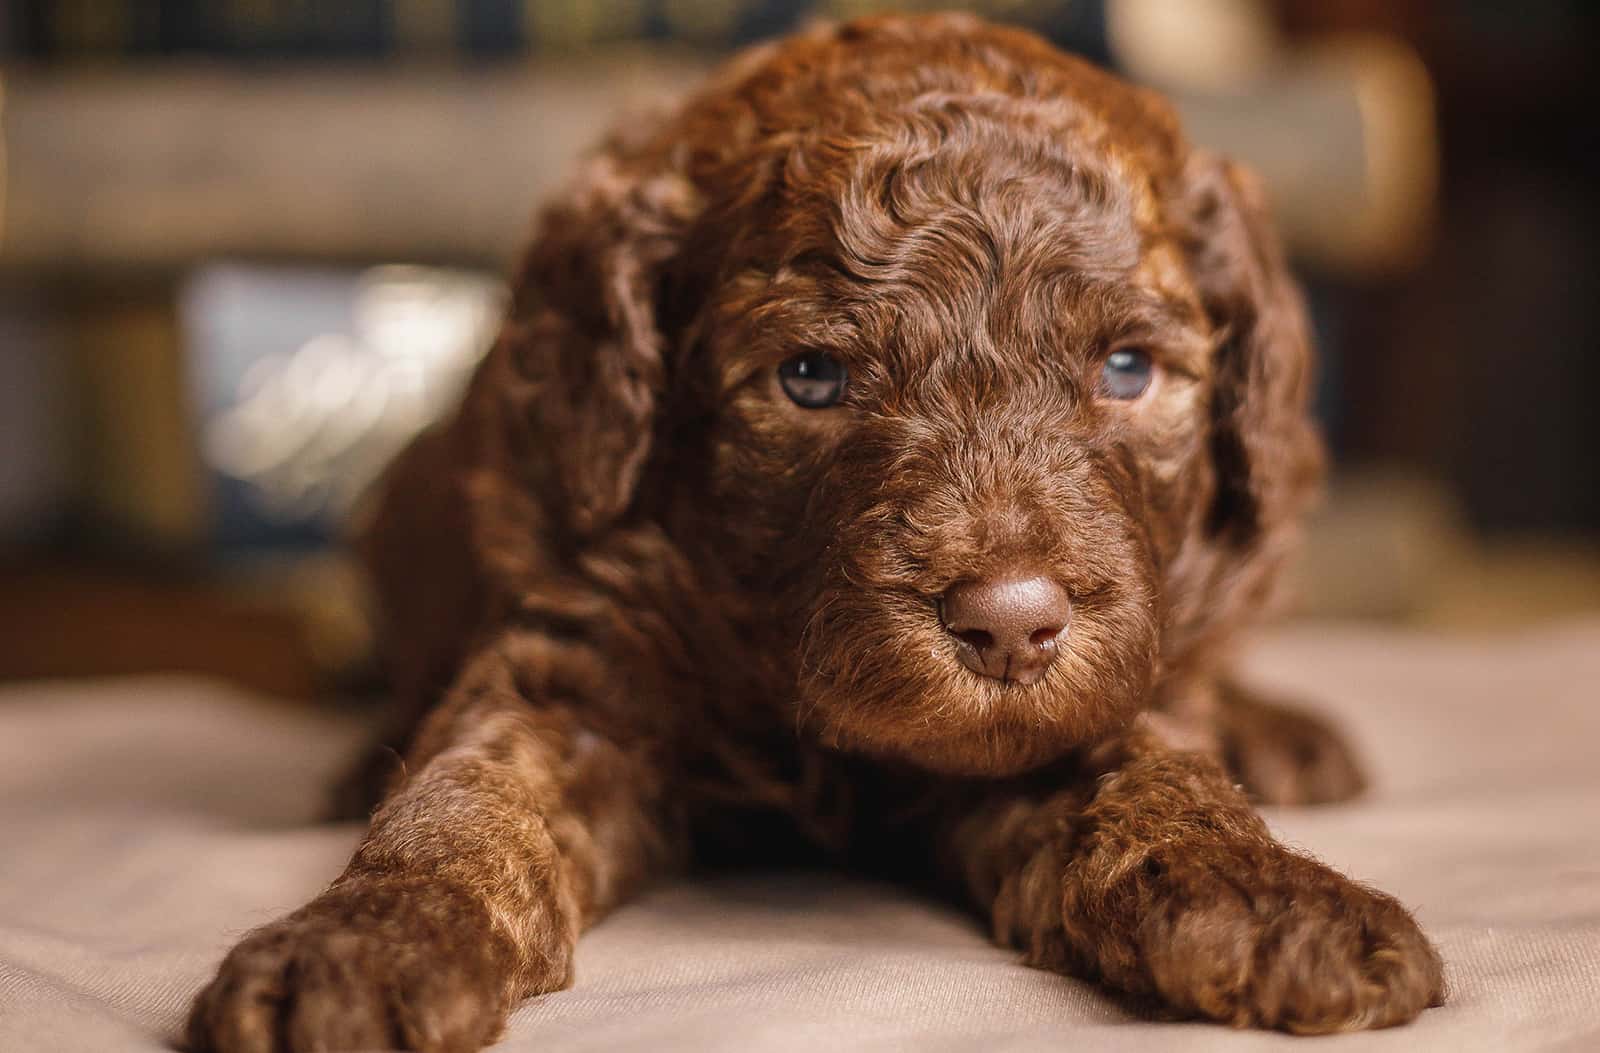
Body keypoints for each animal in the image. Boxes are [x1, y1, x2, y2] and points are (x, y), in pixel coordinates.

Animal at [190, 12, 1452, 1043]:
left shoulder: (1080, 706)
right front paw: (364, 942)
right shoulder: (578, 656)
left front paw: (1266, 894)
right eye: (810, 377)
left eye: (1128, 368)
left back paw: (1278, 734)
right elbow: (466, 797)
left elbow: (1153, 773)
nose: (1009, 625)